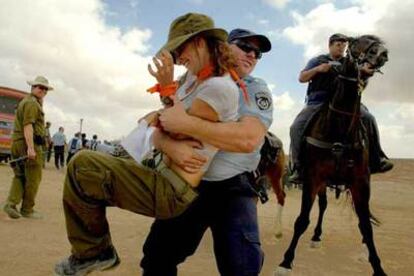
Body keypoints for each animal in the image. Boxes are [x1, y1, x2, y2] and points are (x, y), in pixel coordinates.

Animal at [276, 35, 390, 276]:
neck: (339, 129)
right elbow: (302, 220)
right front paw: (286, 262)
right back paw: (316, 236)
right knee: (322, 205)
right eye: (355, 41)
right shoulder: (312, 178)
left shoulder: (360, 182)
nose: (382, 54)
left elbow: (366, 224)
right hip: (322, 183)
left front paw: (377, 265)